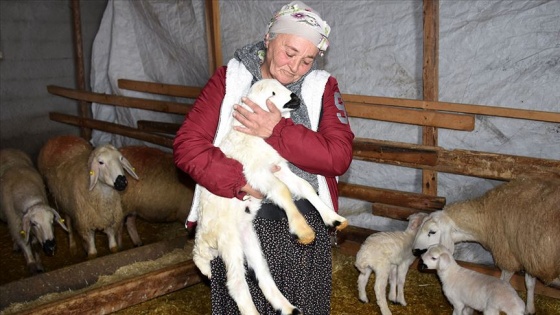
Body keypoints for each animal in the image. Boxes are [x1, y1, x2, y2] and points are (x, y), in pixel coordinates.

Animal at [195, 77, 348, 315]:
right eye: (273, 94)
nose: (294, 97)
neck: (253, 136)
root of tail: (204, 238)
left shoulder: (277, 166)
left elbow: (304, 187)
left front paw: (334, 219)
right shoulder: (257, 174)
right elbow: (283, 191)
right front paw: (303, 230)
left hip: (247, 237)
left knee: (263, 274)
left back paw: (288, 307)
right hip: (228, 239)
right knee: (236, 283)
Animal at [412, 177, 560, 314]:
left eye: (432, 232)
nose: (414, 250)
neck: (486, 218)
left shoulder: (508, 256)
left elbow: (504, 281)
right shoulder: (529, 255)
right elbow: (530, 284)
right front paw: (530, 308)